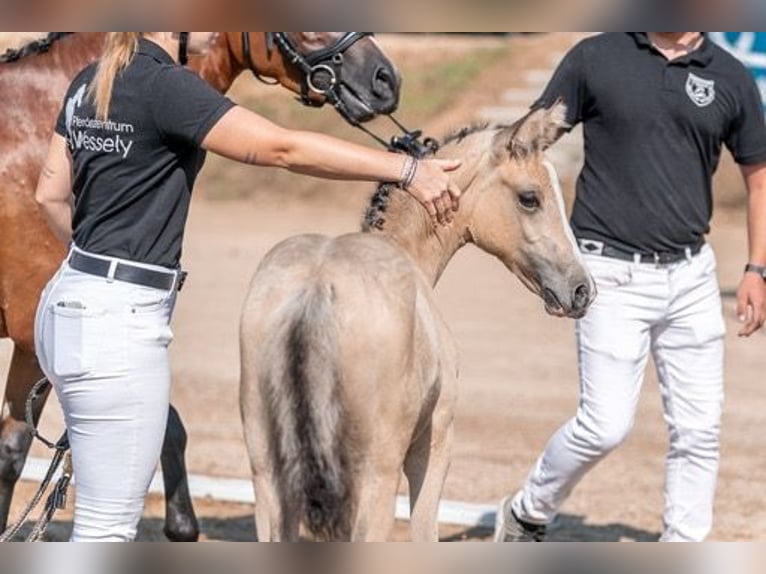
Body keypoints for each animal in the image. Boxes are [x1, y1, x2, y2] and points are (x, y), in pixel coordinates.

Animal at [240, 104, 600, 544]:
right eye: (529, 198)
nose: (582, 290)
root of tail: (315, 290)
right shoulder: (435, 442)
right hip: (375, 475)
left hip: (268, 476)